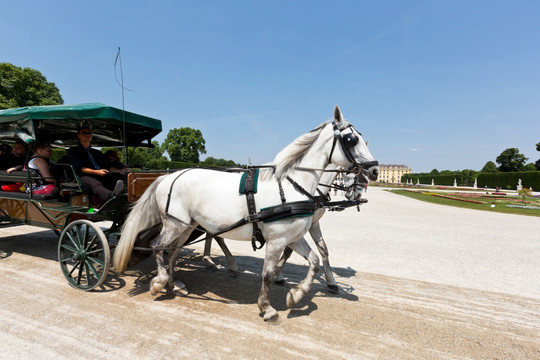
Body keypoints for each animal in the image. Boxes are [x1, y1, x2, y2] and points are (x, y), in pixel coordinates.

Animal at [113, 105, 380, 322]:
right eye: (351, 139)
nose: (375, 170)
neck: (293, 185)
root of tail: (170, 176)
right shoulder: (277, 239)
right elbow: (267, 274)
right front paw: (267, 306)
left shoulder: (294, 236)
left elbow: (314, 260)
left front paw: (296, 294)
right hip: (175, 224)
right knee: (159, 247)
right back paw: (160, 281)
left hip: (187, 226)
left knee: (174, 251)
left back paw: (176, 282)